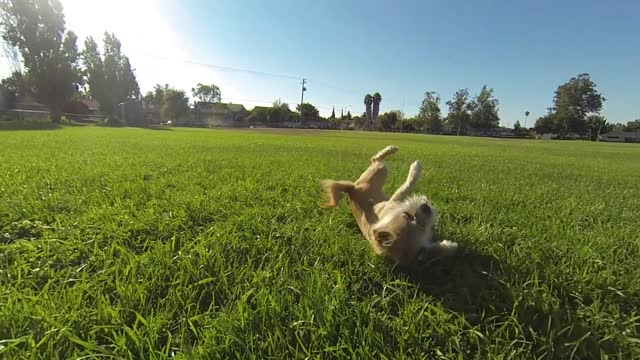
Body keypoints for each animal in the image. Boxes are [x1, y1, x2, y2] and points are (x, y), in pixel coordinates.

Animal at [322, 145, 458, 266]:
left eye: (424, 227)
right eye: (407, 216)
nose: (425, 207)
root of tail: (351, 189)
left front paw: (448, 246)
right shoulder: (395, 200)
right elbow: (407, 186)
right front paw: (416, 168)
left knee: (374, 160)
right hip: (379, 173)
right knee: (376, 160)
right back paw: (392, 149)